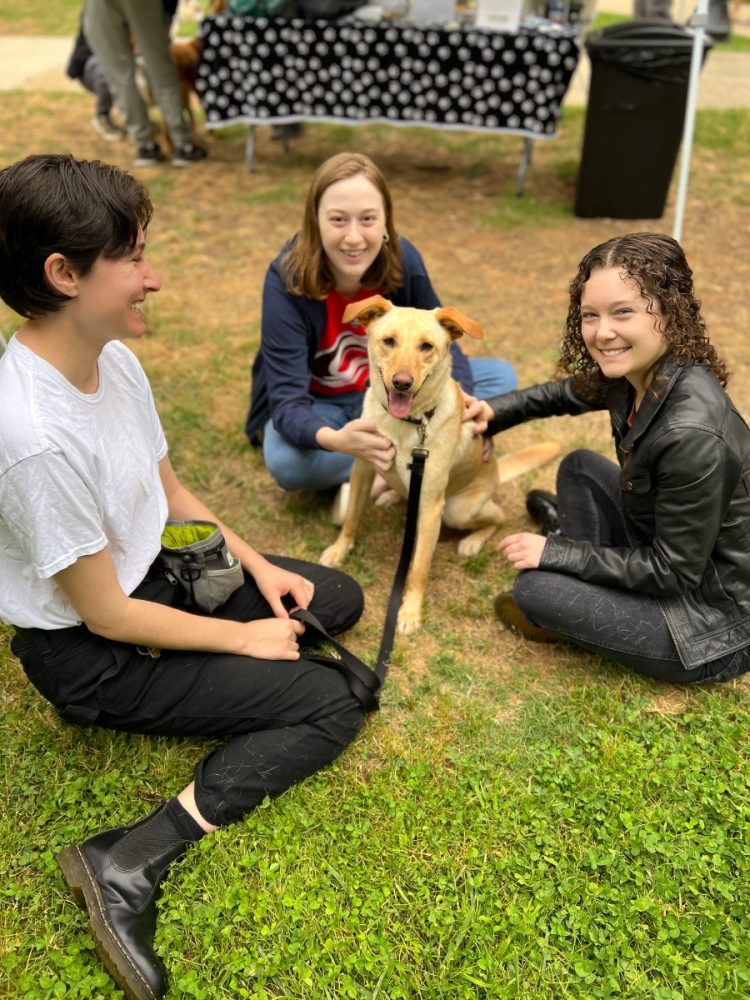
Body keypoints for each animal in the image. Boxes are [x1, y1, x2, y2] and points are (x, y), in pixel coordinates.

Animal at [320, 294, 560, 632]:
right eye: (389, 341)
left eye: (426, 346)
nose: (402, 383)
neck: (407, 422)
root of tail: (496, 473)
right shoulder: (363, 469)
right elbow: (351, 519)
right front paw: (339, 550)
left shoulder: (432, 506)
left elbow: (418, 568)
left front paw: (409, 612)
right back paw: (392, 495)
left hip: (458, 511)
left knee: (497, 517)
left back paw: (472, 542)